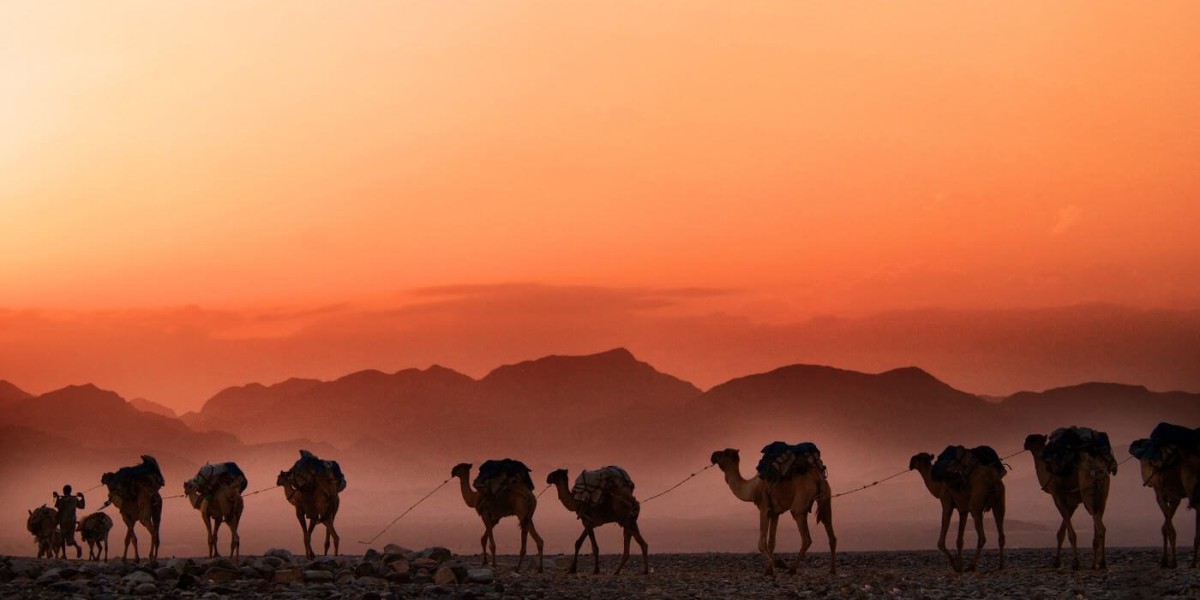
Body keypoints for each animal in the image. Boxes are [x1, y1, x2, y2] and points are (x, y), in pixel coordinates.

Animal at [1024, 432, 1115, 570]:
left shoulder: (1057, 497)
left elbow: (1070, 533)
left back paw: (1102, 563)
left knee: (1101, 527)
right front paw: (1056, 562)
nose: (1025, 443)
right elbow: (1061, 532)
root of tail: (1099, 469)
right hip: (1102, 498)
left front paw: (1075, 563)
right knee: (1098, 522)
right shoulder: (1073, 504)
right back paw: (1095, 564)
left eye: (1032, 439)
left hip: (1088, 496)